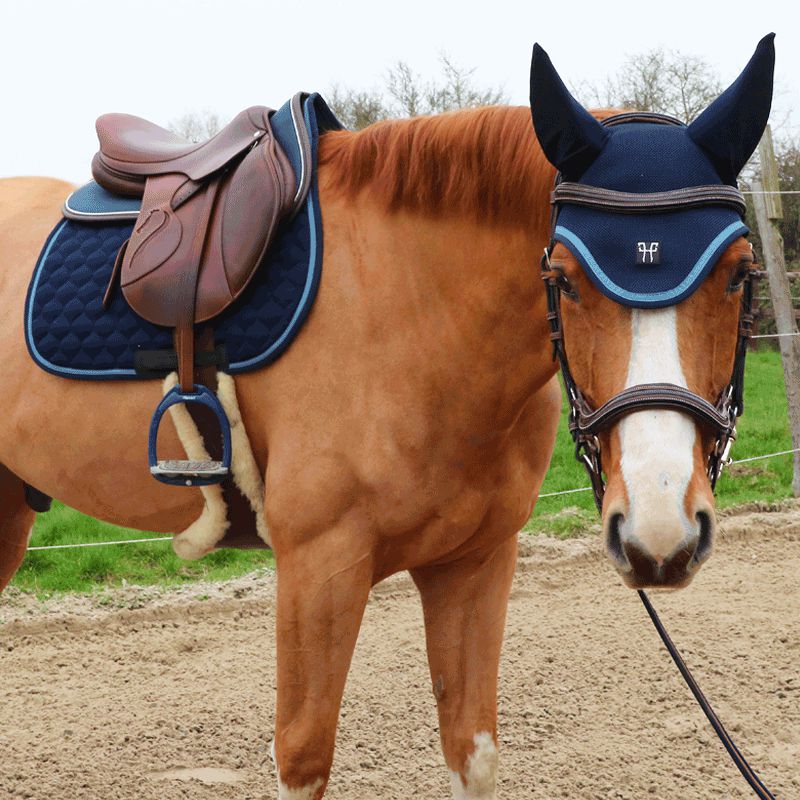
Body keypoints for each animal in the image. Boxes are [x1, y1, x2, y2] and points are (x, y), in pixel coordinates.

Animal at [0, 35, 774, 799]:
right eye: (564, 279)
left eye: (740, 272)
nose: (659, 531)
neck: (412, 311)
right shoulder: (319, 569)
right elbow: (304, 757)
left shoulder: (475, 563)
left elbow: (473, 751)